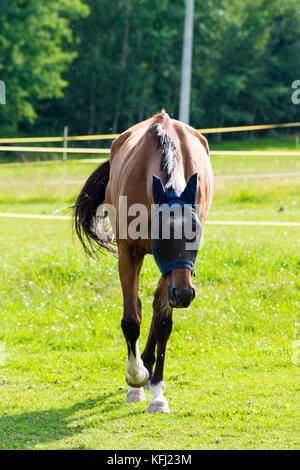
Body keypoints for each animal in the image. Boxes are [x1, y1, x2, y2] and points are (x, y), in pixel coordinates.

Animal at [75, 112, 213, 414]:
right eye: (162, 236)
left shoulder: (172, 271)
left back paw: (148, 365)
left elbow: (162, 322)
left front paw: (158, 392)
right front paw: (135, 379)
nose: (184, 294)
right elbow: (131, 319)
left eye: (196, 232)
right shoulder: (129, 253)